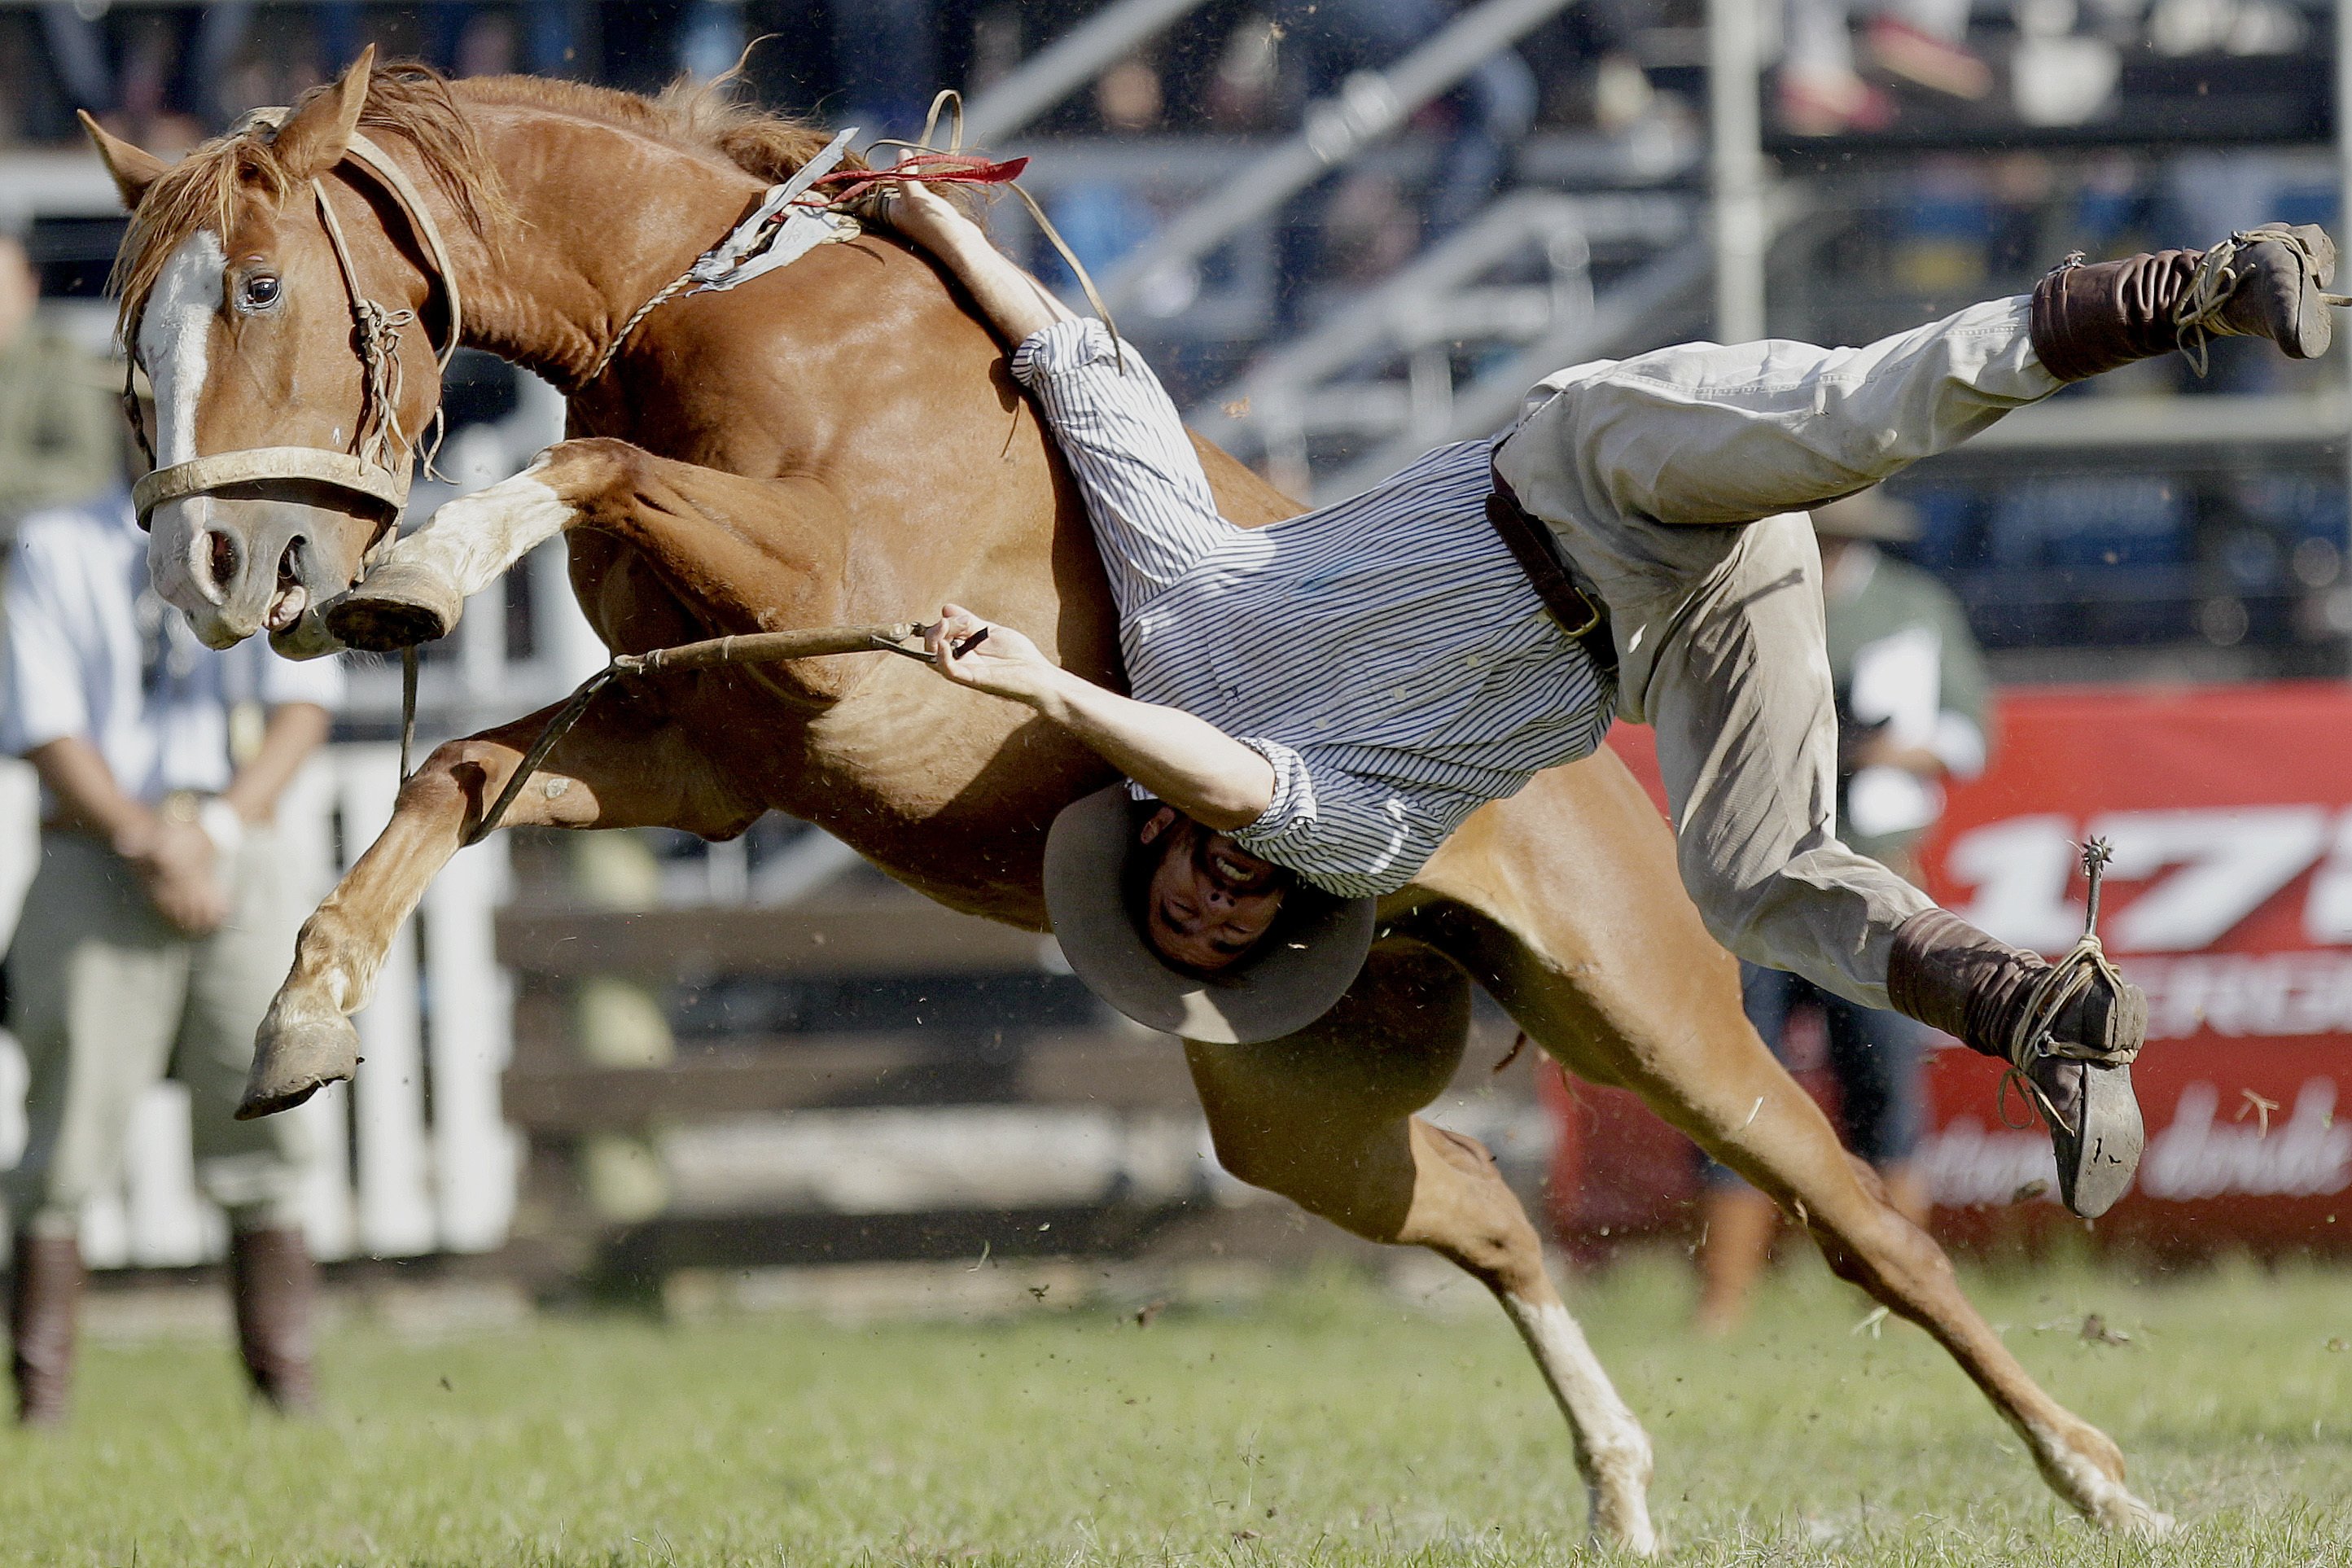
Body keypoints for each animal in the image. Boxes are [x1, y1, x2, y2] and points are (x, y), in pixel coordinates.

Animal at [86, 55, 2154, 1551]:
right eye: (124, 332)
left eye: (261, 286)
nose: (221, 565)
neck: (732, 326)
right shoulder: (712, 742)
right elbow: (456, 768)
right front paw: (299, 1020)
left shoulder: (833, 630)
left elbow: (586, 470)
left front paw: (425, 569)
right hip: (1295, 1106)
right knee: (1492, 1215)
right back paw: (1624, 1488)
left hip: (1646, 1010)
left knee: (1861, 1218)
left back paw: (2097, 1456)